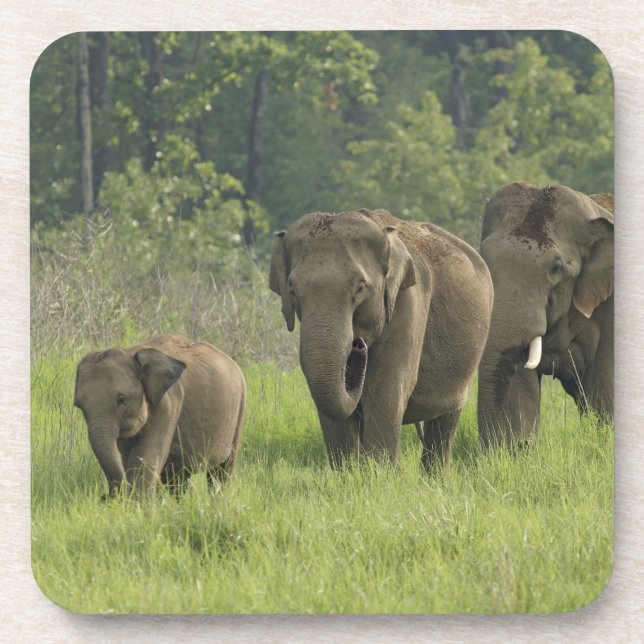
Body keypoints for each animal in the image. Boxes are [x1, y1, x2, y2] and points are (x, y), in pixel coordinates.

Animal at [74, 333, 246, 498]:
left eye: (122, 399)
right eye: (79, 406)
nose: (104, 496)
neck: (131, 353)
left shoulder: (168, 404)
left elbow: (146, 457)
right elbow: (130, 458)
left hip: (239, 408)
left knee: (222, 470)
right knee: (179, 474)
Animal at [269, 208, 493, 471]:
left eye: (360, 289)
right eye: (292, 291)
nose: (358, 345)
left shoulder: (408, 303)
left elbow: (385, 389)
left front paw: (381, 473)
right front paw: (348, 473)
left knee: (445, 420)